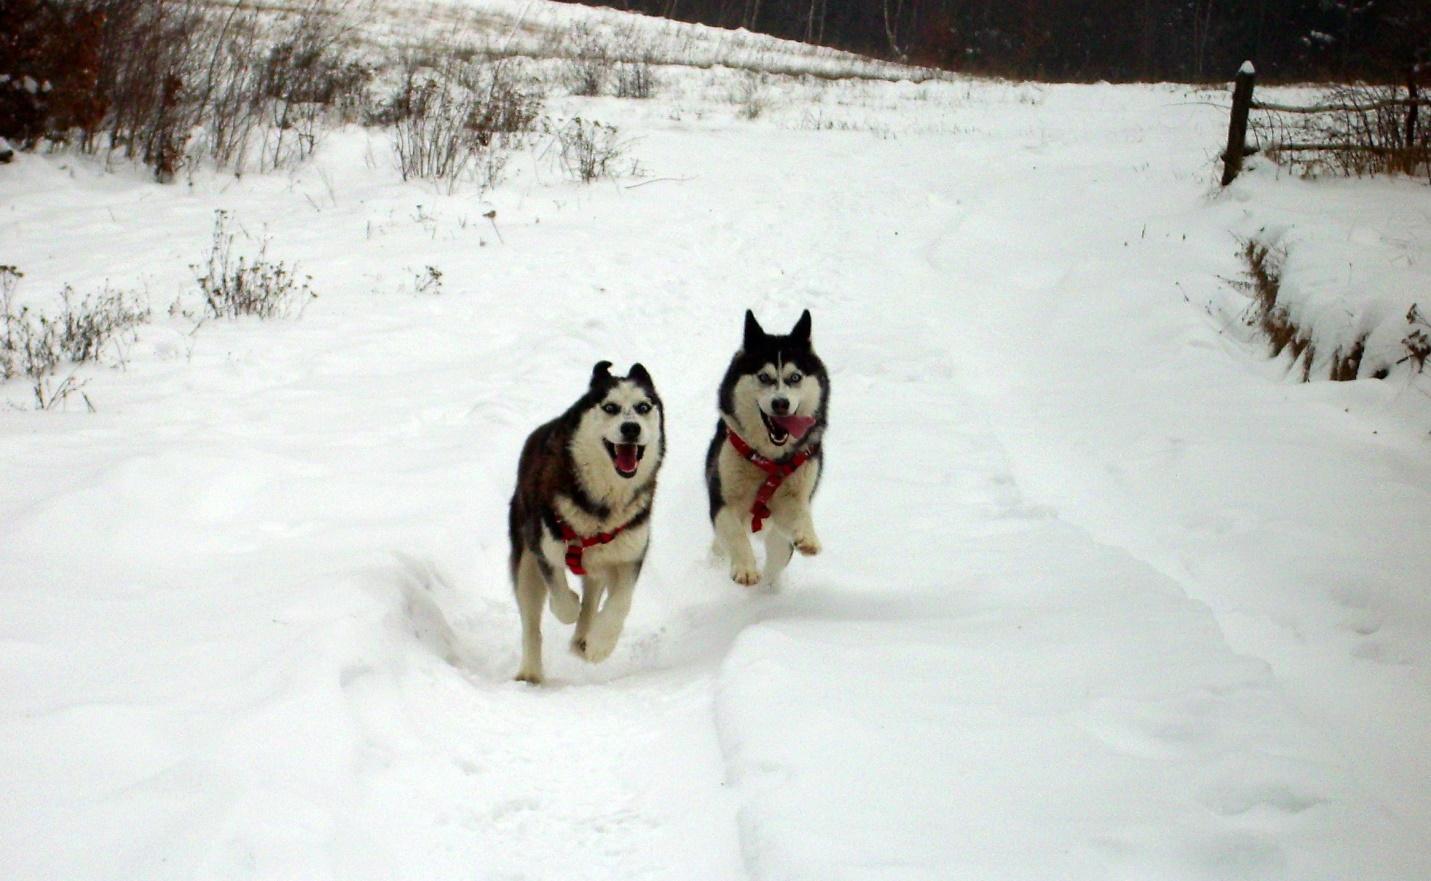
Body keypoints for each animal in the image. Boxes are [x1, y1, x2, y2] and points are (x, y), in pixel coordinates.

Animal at [508, 361, 665, 684]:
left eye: (643, 407)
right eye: (610, 407)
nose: (631, 428)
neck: (603, 505)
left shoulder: (630, 554)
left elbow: (620, 603)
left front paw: (599, 644)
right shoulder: (546, 549)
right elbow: (561, 601)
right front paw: (569, 600)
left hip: (601, 561)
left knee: (593, 593)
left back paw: (583, 637)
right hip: (526, 556)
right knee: (531, 620)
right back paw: (530, 672)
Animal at [705, 309, 828, 587]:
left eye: (795, 378)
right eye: (763, 377)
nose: (780, 403)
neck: (768, 459)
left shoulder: (793, 496)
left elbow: (799, 515)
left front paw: (808, 537)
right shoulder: (724, 498)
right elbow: (734, 533)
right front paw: (745, 568)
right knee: (722, 543)